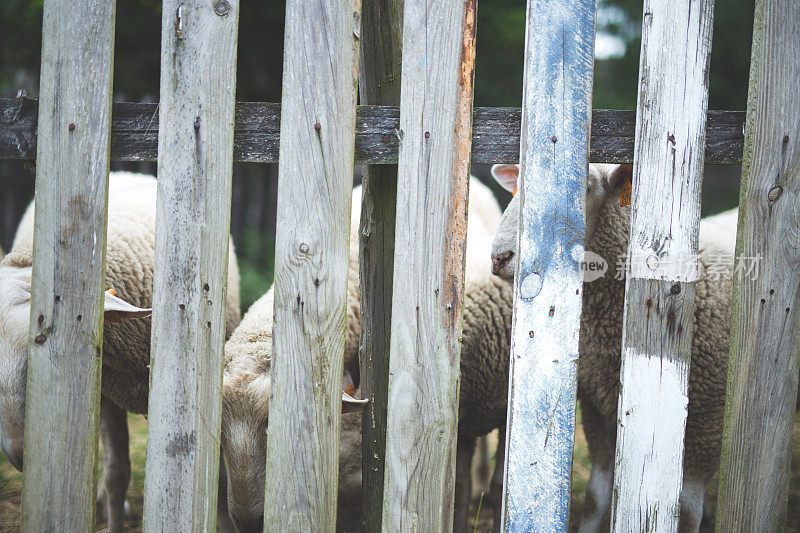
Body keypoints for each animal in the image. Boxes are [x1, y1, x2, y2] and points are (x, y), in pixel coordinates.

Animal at [0, 171, 241, 532]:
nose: (18, 456)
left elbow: (220, 483)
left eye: (43, 348)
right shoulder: (107, 395)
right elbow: (117, 474)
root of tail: (125, 172)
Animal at [490, 163, 740, 532]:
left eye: (583, 188)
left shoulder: (707, 416)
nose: (500, 257)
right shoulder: (598, 407)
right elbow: (596, 496)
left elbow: (684, 511)